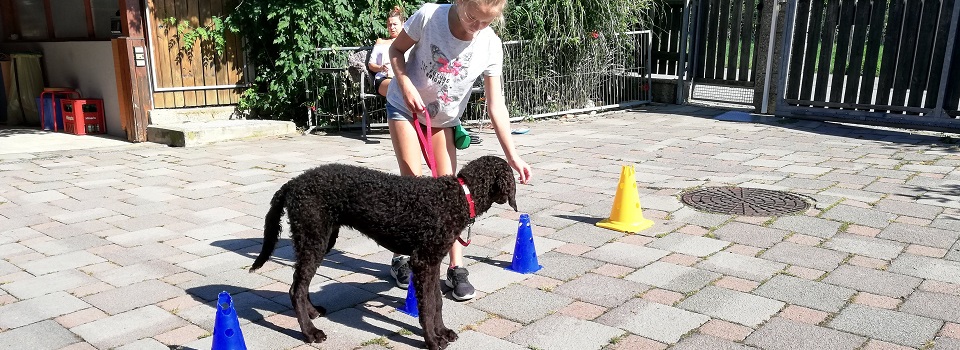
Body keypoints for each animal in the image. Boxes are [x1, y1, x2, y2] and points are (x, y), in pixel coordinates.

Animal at [249, 156, 516, 350]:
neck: (459, 195)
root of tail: (292, 183)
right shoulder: (422, 262)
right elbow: (427, 306)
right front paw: (431, 340)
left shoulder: (432, 262)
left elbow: (437, 301)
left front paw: (442, 332)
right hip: (313, 238)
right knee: (295, 289)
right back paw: (310, 333)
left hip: (321, 241)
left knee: (301, 285)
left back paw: (313, 313)